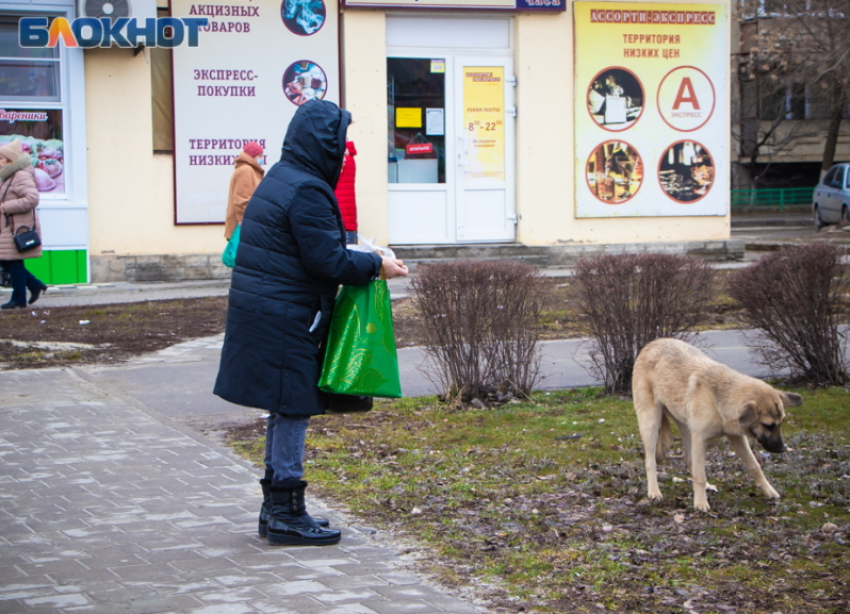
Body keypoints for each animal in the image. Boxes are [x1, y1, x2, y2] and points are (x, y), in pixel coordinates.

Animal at [628, 340, 800, 512]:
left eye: (781, 423)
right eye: (768, 425)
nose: (782, 449)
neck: (720, 399)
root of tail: (651, 344)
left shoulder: (736, 438)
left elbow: (755, 466)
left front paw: (769, 491)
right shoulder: (700, 439)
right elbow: (700, 475)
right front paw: (700, 503)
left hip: (686, 428)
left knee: (689, 461)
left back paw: (707, 487)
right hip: (651, 424)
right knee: (651, 461)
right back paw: (654, 492)